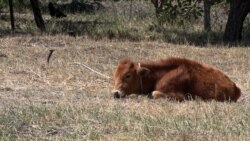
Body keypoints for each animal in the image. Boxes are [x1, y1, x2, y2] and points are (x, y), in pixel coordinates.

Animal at [112, 57, 241, 101]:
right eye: (115, 75)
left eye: (128, 75)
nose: (115, 93)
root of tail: (235, 87)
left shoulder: (179, 96)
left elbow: (154, 93)